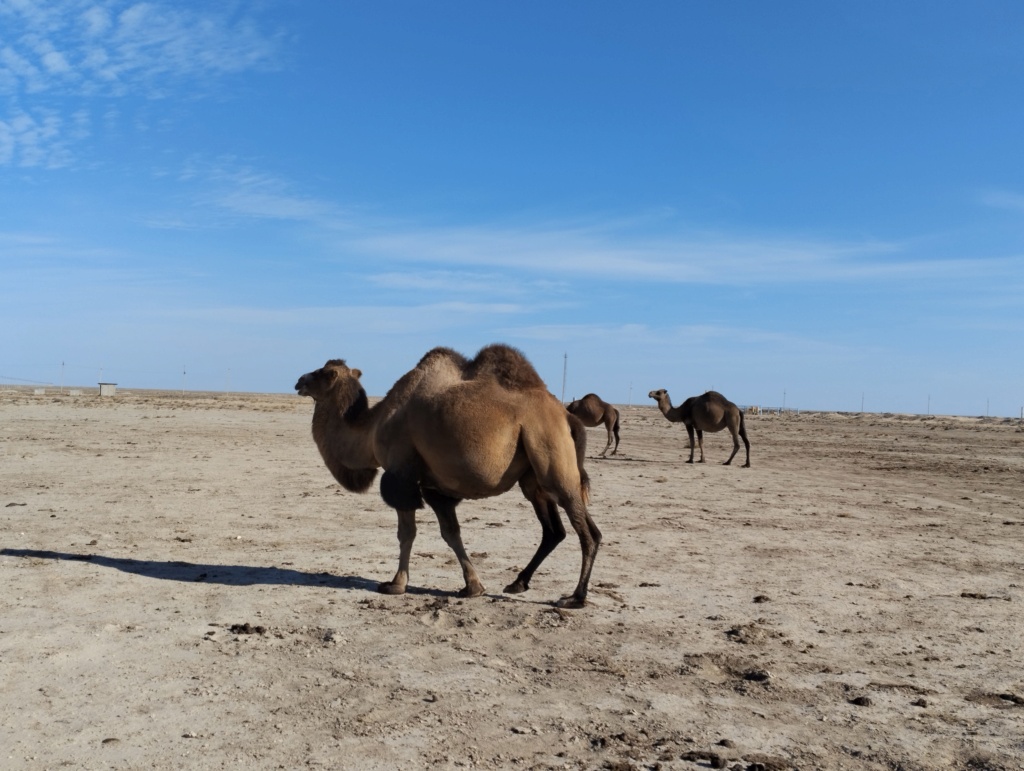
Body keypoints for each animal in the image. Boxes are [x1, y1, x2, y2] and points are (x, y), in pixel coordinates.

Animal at [294, 341, 598, 606]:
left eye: (325, 373)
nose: (299, 381)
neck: (372, 428)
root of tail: (566, 417)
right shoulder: (433, 486)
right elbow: (451, 533)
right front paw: (473, 586)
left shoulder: (400, 473)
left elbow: (406, 533)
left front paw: (395, 584)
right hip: (533, 476)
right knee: (553, 530)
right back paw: (517, 583)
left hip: (552, 458)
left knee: (587, 530)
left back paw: (575, 598)